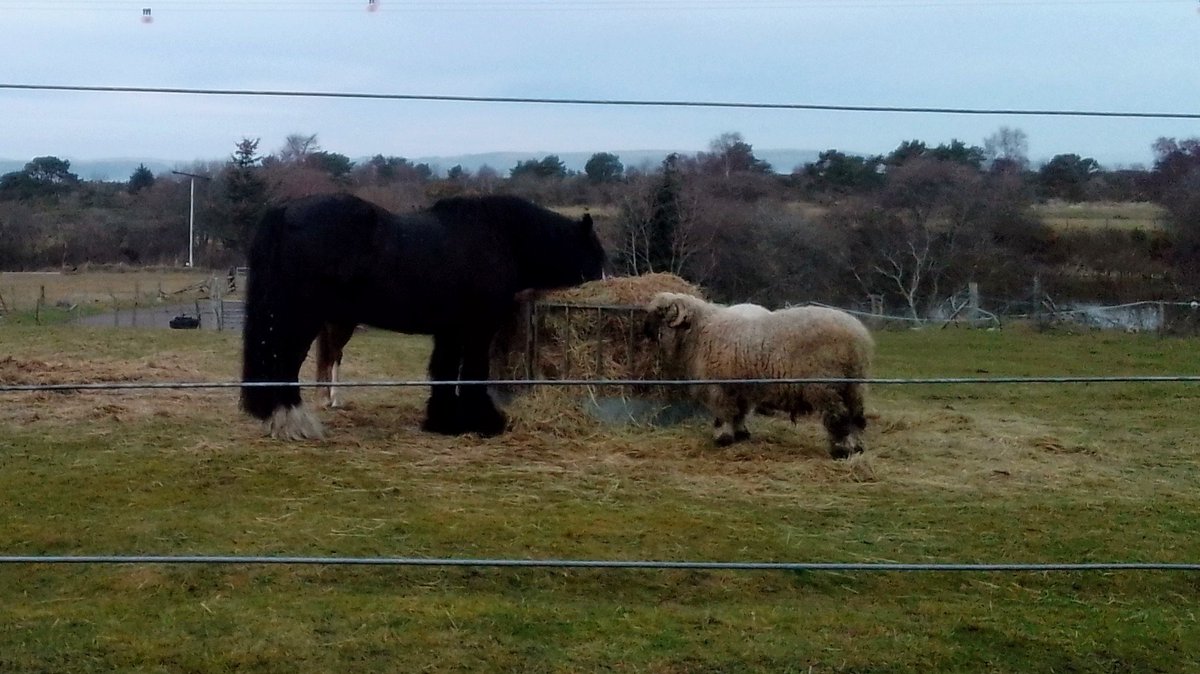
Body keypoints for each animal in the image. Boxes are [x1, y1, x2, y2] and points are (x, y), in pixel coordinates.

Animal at [240, 193, 606, 440]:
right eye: (596, 259)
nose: (606, 283)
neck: (500, 236)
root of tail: (286, 211)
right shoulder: (478, 328)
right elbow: (473, 373)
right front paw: (485, 423)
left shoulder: (450, 331)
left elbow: (443, 371)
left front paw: (442, 422)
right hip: (301, 319)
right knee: (285, 365)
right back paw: (295, 423)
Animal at [643, 292, 874, 459]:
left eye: (660, 312)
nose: (643, 330)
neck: (701, 332)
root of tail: (858, 338)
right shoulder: (740, 388)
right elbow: (740, 413)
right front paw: (741, 435)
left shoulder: (719, 387)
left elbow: (723, 414)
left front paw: (722, 438)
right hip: (854, 385)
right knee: (856, 417)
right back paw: (857, 448)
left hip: (825, 385)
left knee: (838, 418)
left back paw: (841, 451)